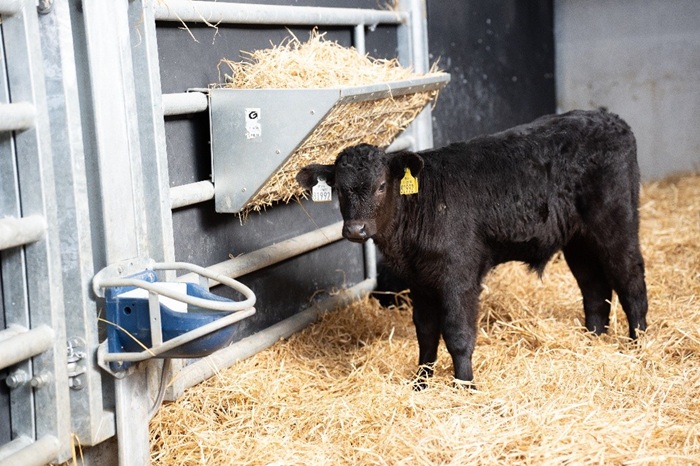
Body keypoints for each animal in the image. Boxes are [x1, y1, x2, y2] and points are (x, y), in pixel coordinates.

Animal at [296, 108, 648, 389]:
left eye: (382, 185)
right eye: (340, 189)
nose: (356, 229)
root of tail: (607, 117)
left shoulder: (459, 276)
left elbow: (458, 333)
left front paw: (464, 385)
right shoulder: (419, 281)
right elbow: (426, 332)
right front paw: (421, 383)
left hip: (616, 222)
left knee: (631, 281)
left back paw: (639, 345)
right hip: (578, 239)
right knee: (595, 288)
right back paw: (593, 341)